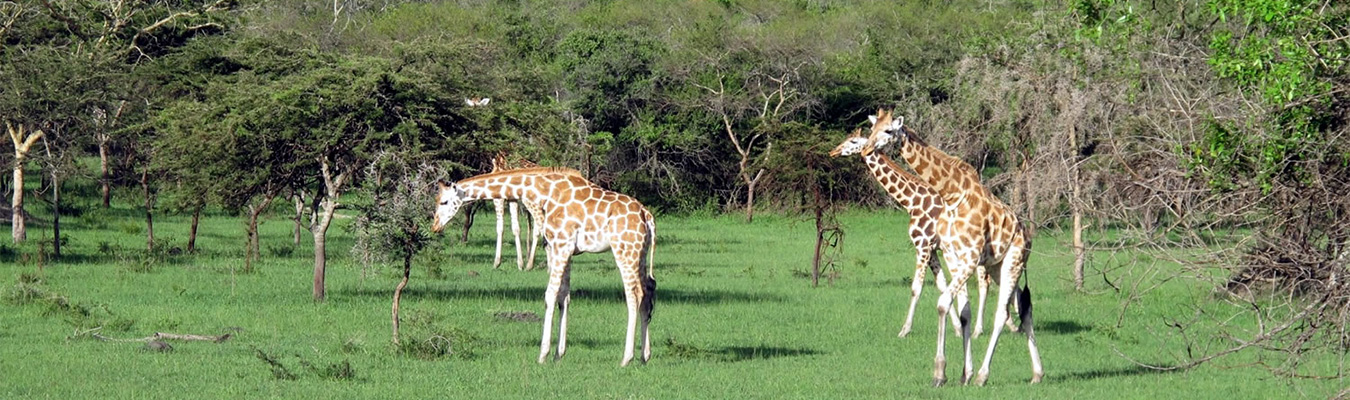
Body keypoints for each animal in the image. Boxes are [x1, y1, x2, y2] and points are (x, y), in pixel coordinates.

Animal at [820, 128, 993, 337]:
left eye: (853, 141)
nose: (833, 152)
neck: (911, 202)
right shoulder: (932, 249)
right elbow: (942, 285)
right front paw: (957, 328)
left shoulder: (923, 245)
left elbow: (916, 287)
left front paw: (904, 330)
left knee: (983, 282)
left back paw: (978, 330)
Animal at [864, 110, 1042, 386]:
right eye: (872, 129)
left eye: (888, 131)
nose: (867, 149)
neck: (951, 195)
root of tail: (1027, 234)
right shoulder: (953, 255)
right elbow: (963, 311)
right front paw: (963, 373)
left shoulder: (968, 257)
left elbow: (942, 303)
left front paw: (940, 372)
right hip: (998, 266)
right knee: (1024, 305)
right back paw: (1037, 374)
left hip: (1013, 260)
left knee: (1001, 313)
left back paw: (983, 376)